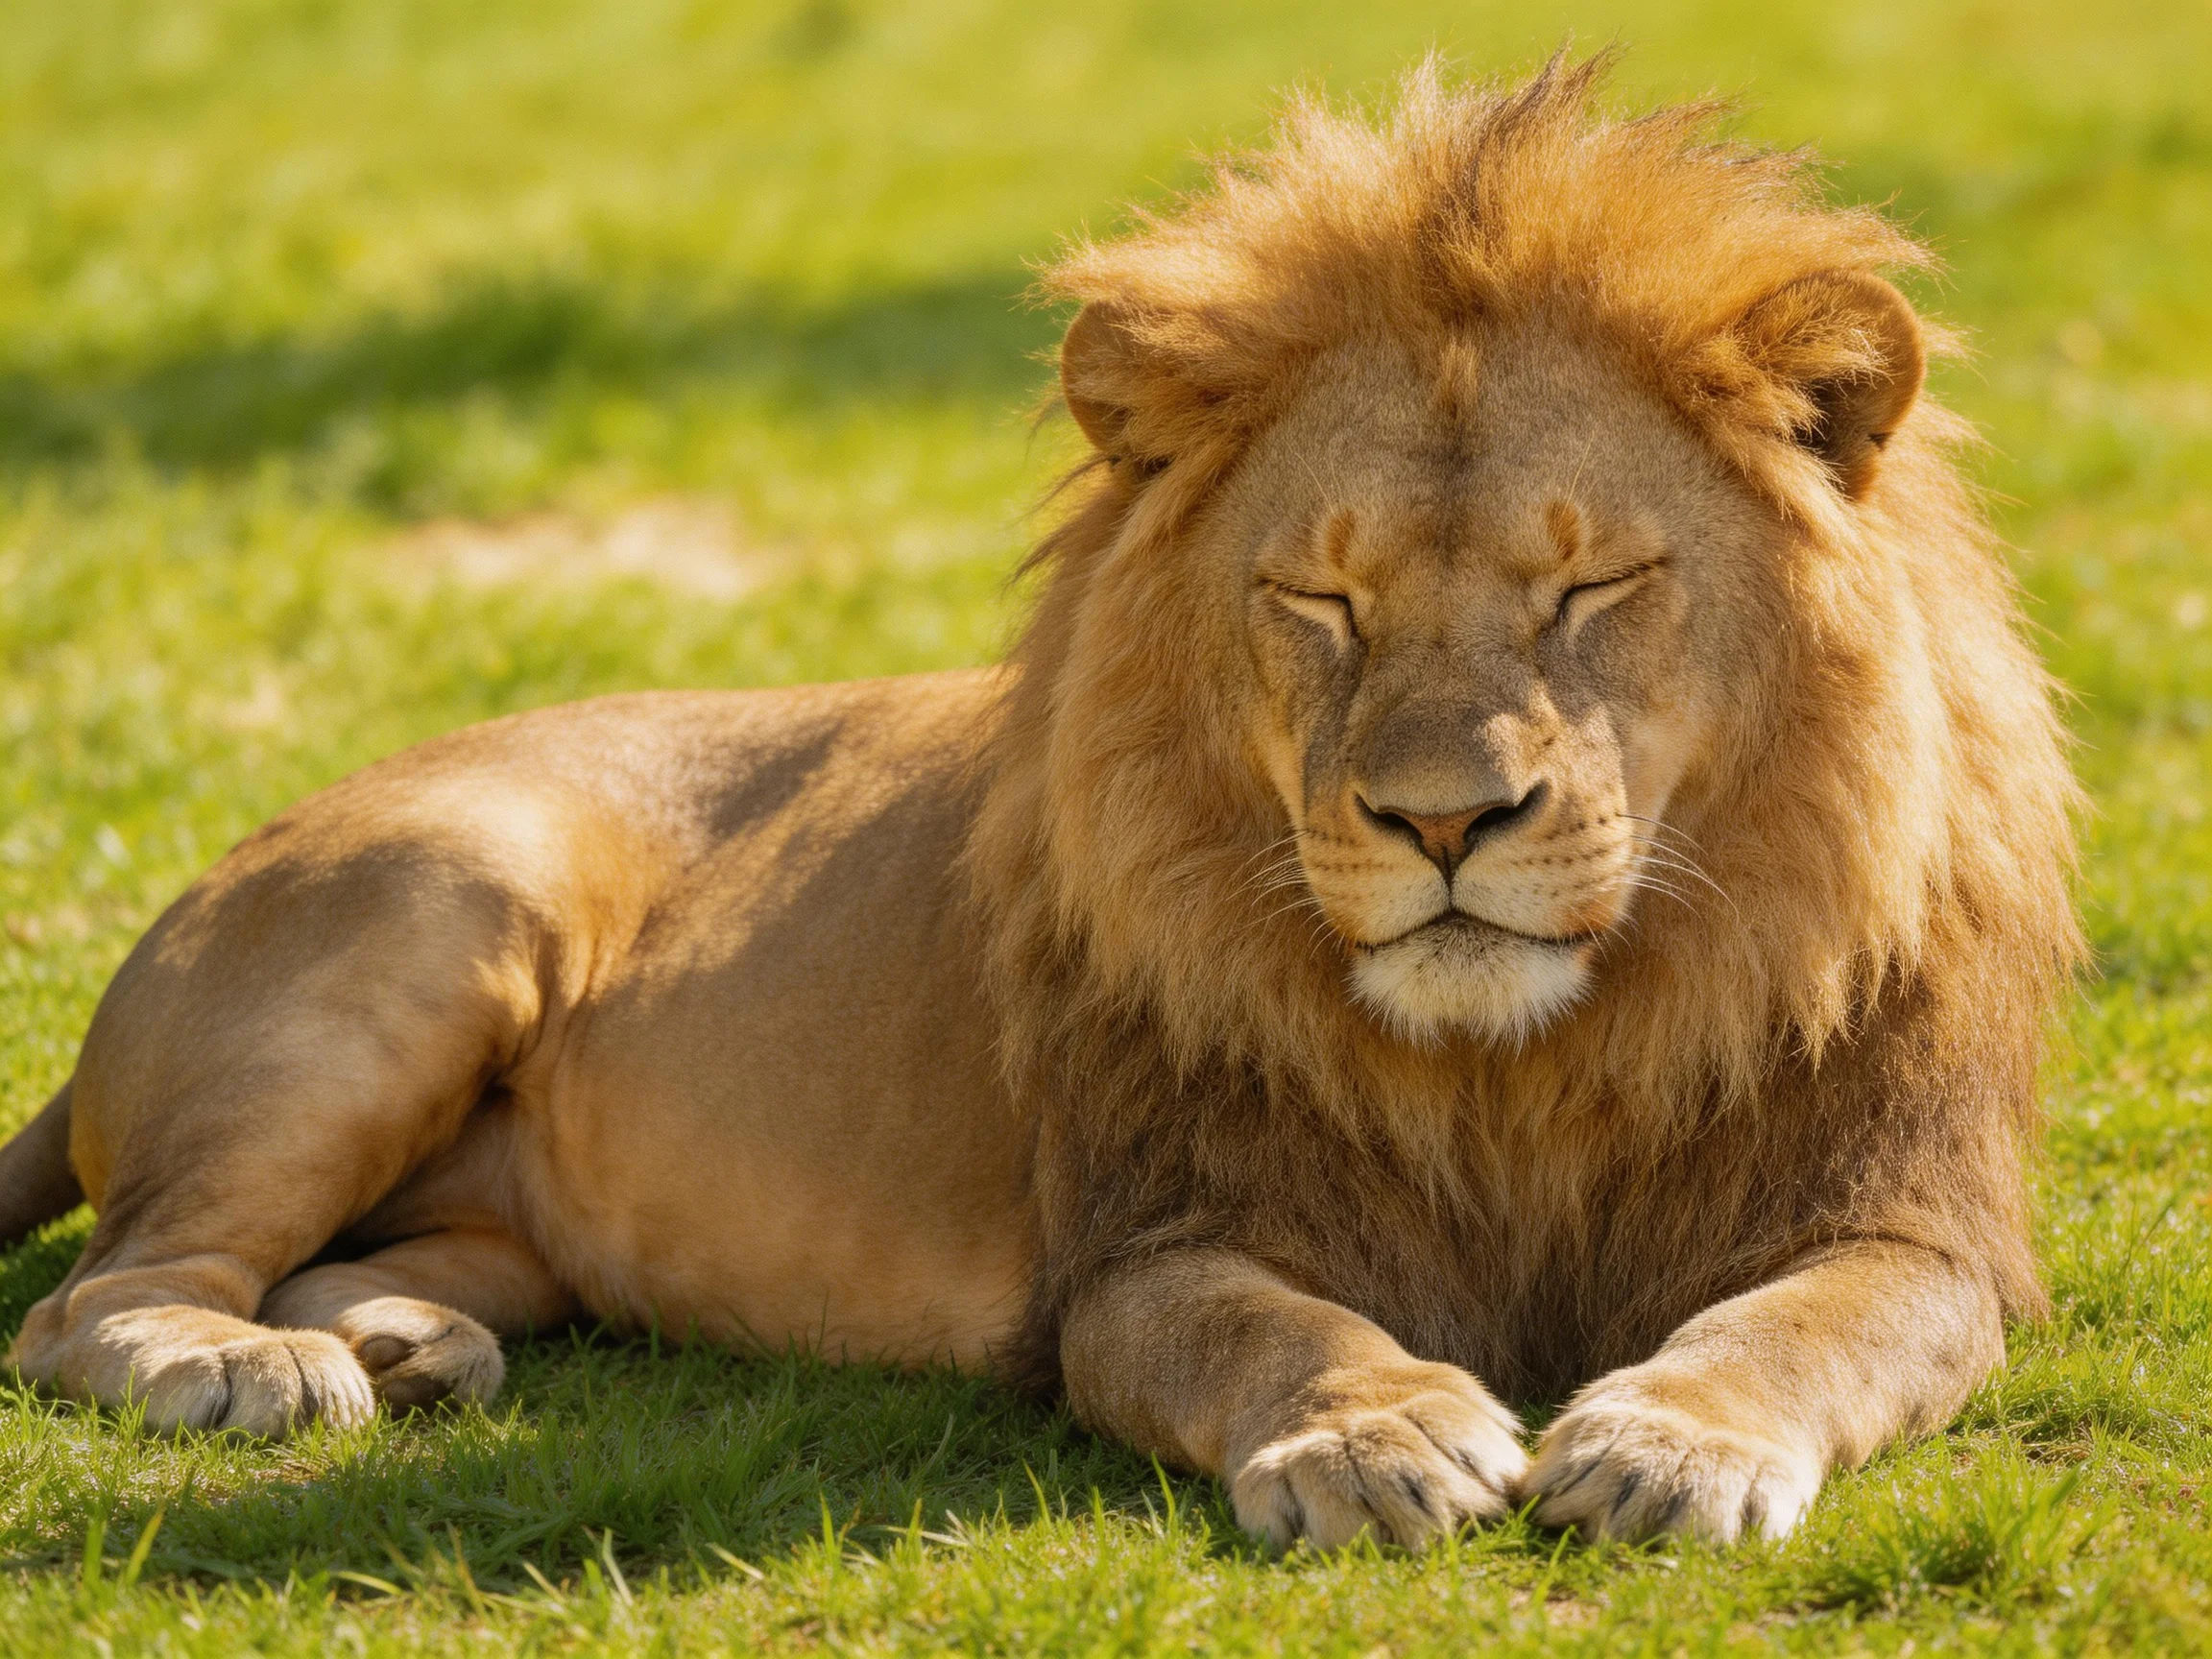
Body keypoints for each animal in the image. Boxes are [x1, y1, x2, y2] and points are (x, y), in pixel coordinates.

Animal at [0, 57, 2078, 1549]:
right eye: (1318, 600)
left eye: (1591, 588)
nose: (1440, 821)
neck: (1530, 1063)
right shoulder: (1146, 1241)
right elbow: (1272, 1328)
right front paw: (1375, 1441)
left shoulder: (1915, 1221)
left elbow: (1795, 1325)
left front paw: (1667, 1443)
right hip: (440, 909)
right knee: (92, 1294)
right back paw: (252, 1365)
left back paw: (404, 1338)